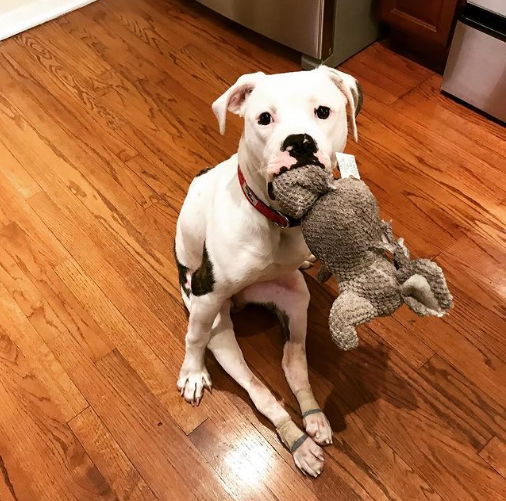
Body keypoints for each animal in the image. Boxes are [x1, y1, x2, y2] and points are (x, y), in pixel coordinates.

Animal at [174, 66, 360, 476]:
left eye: (323, 112)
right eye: (264, 118)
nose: (300, 142)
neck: (278, 221)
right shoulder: (206, 294)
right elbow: (193, 339)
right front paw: (192, 372)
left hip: (296, 298)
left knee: (294, 364)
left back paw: (313, 419)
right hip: (219, 328)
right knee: (258, 389)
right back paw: (299, 443)